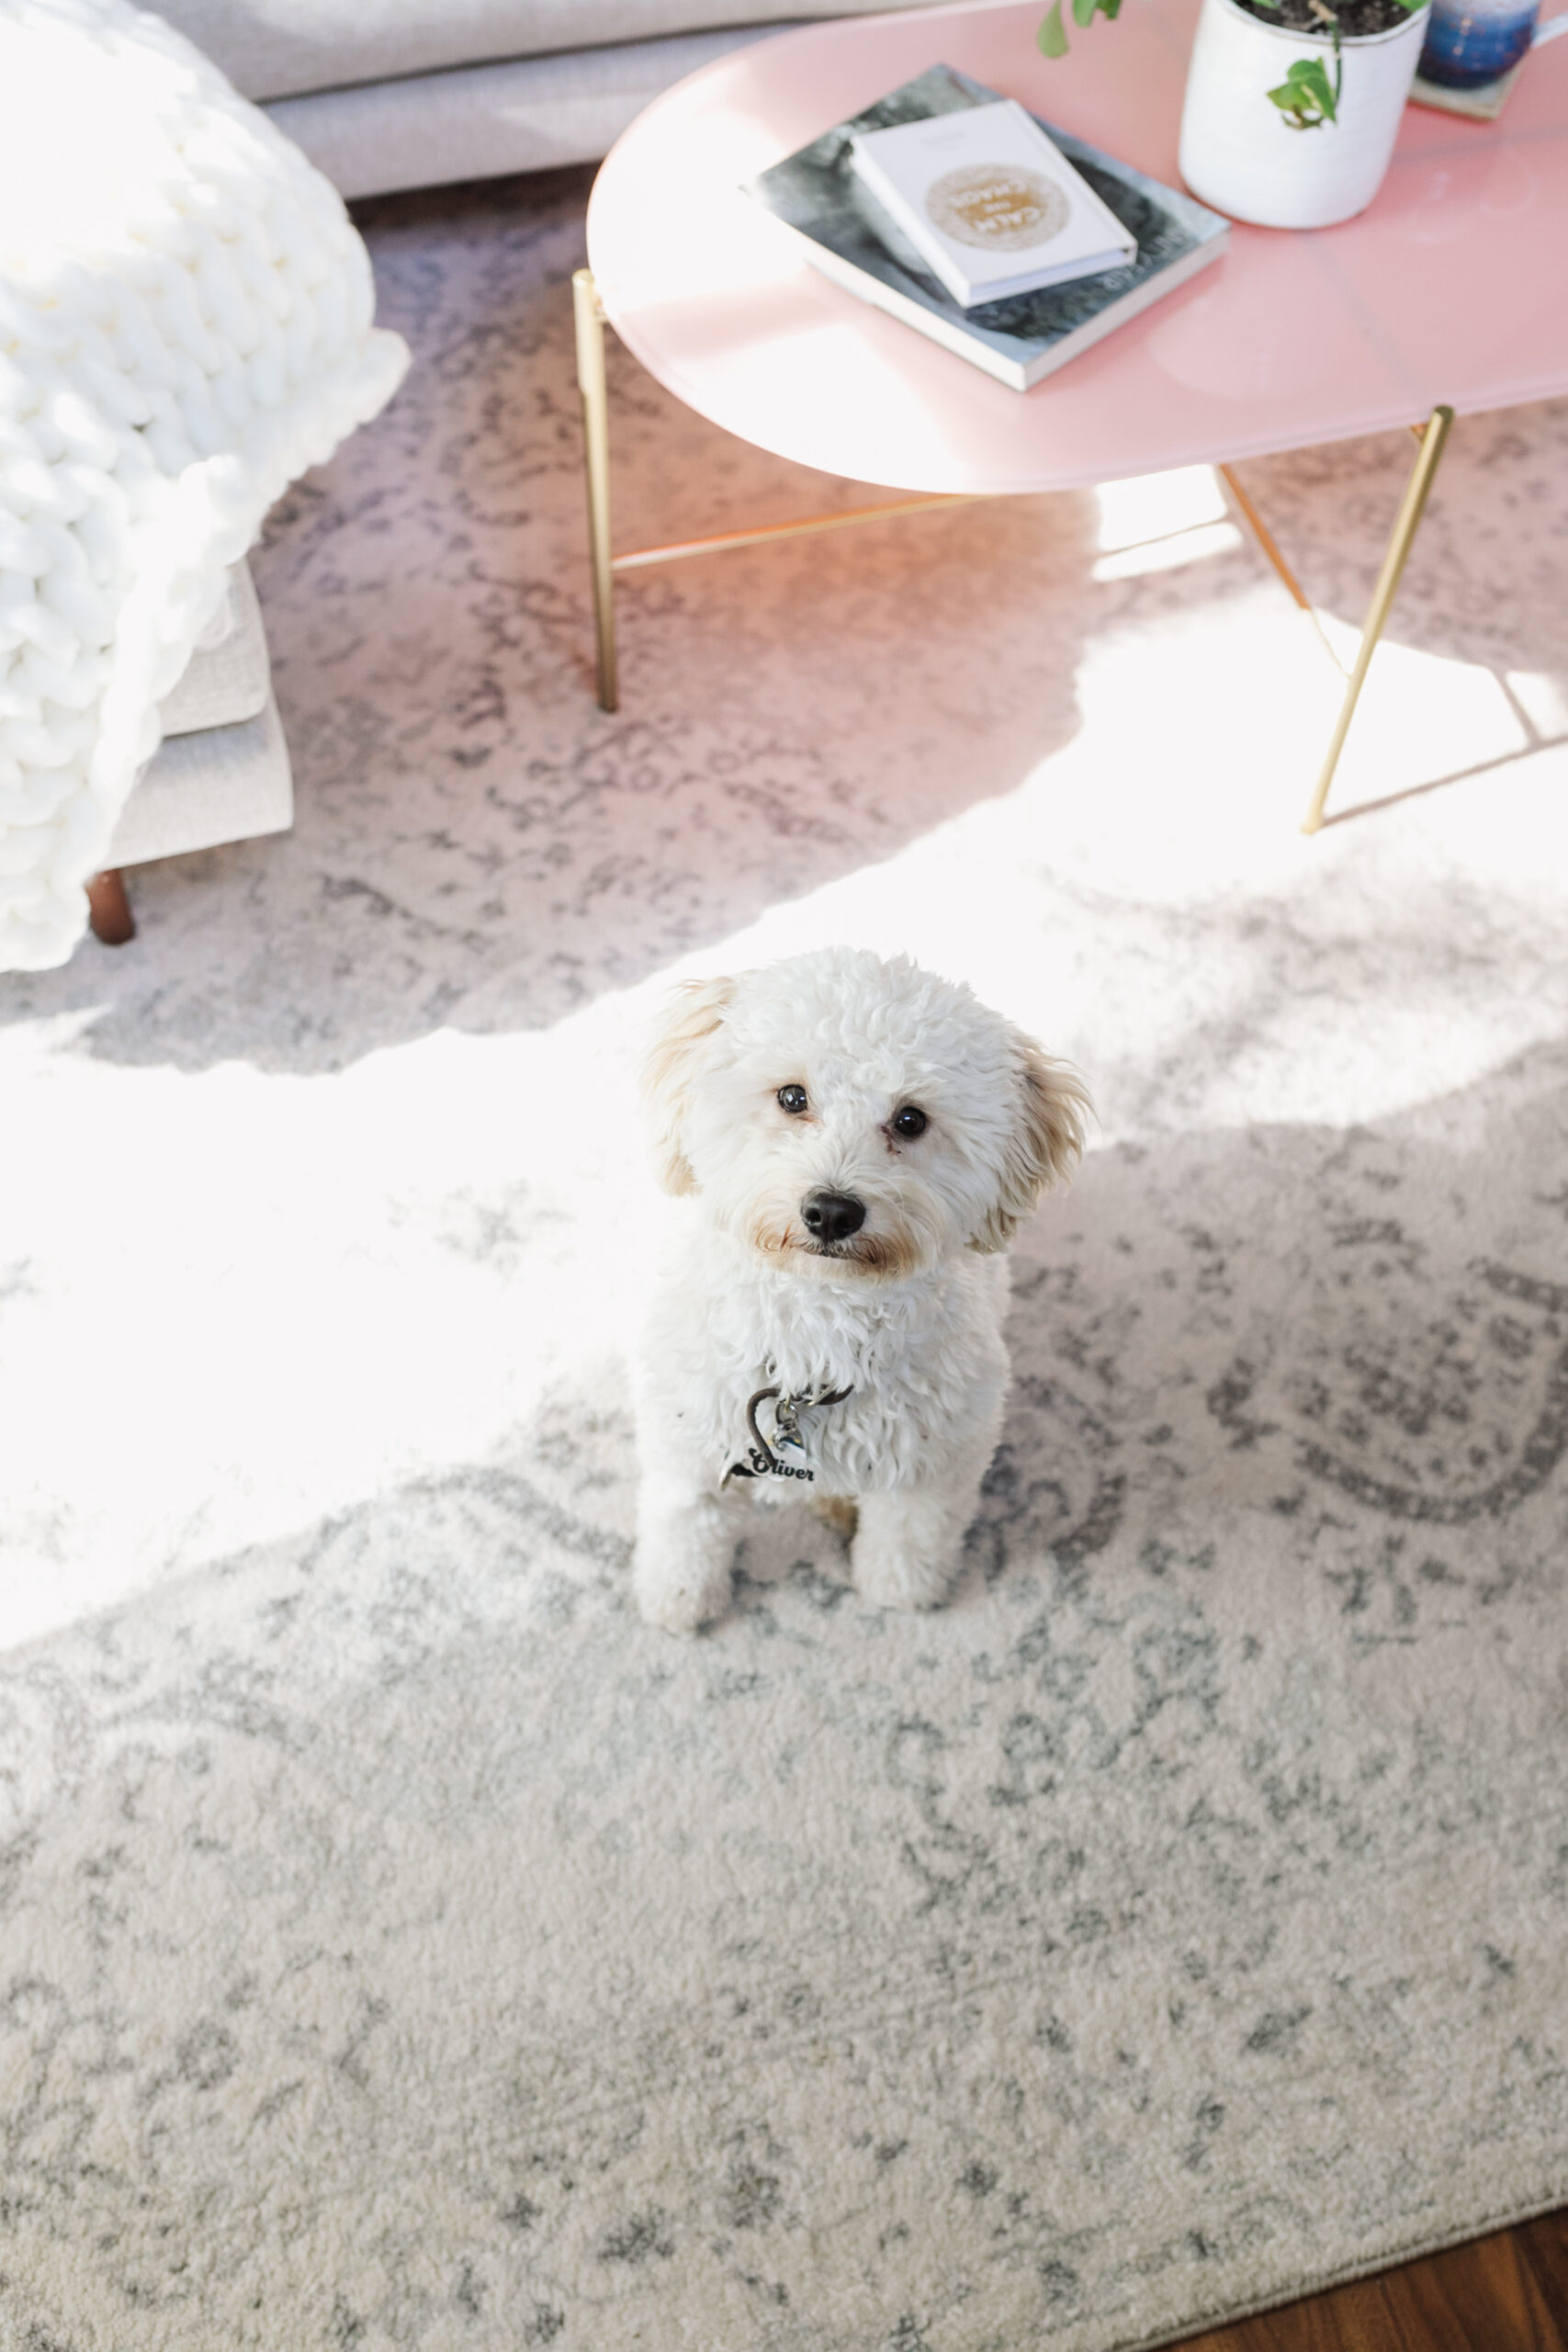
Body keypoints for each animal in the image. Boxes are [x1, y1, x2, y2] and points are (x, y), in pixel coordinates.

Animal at [629, 945, 1086, 1627]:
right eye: (792, 1096)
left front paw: (899, 1590)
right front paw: (679, 1596)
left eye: (910, 1119)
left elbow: (909, 1535)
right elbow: (686, 1521)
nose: (831, 1211)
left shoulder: (936, 1462)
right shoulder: (688, 1440)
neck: (816, 1335)